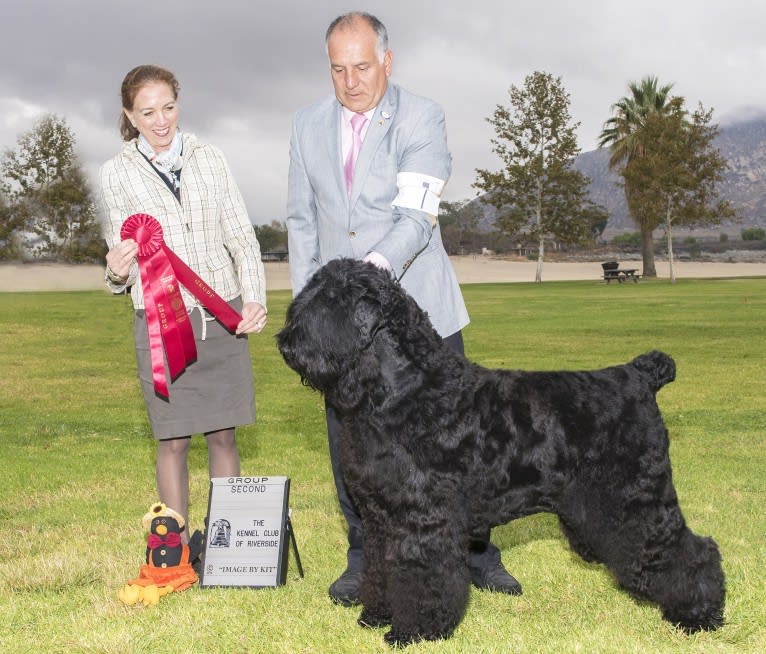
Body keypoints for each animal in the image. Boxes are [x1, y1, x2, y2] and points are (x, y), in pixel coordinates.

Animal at [278, 258, 728, 648]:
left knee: (692, 549)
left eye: (329, 301)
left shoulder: (421, 520)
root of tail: (639, 375)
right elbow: (381, 568)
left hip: (638, 498)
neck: (406, 390)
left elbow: (421, 577)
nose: (285, 343)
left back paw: (698, 615)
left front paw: (414, 631)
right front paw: (376, 615)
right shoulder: (380, 520)